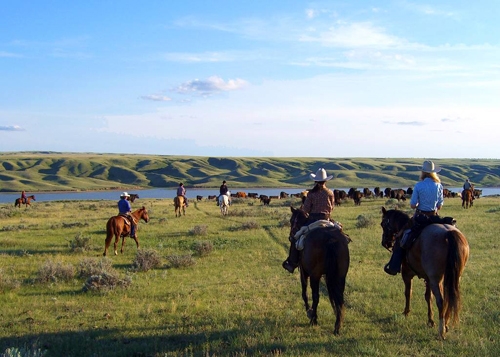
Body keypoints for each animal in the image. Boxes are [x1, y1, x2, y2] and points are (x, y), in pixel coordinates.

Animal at [288, 206, 350, 334]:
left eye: (291, 221)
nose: (291, 237)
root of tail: (330, 239)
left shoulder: (303, 272)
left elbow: (305, 293)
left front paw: (309, 312)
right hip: (341, 276)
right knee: (340, 297)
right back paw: (338, 325)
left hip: (315, 275)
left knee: (316, 296)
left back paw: (314, 319)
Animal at [382, 207, 468, 338]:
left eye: (382, 224)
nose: (385, 243)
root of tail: (449, 234)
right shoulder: (427, 278)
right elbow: (428, 297)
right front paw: (430, 321)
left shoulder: (407, 274)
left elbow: (408, 293)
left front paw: (406, 313)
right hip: (453, 277)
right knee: (449, 298)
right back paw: (446, 324)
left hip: (436, 279)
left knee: (441, 301)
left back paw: (441, 331)